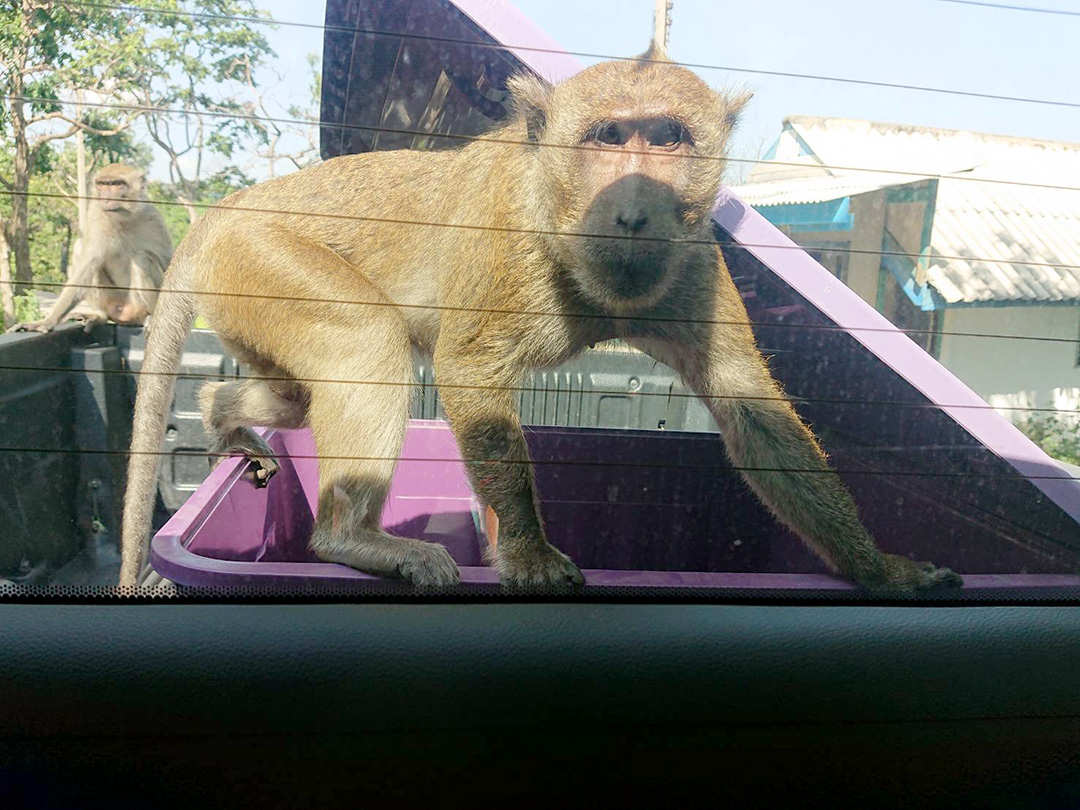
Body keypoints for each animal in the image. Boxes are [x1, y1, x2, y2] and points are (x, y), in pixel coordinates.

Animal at [6, 163, 173, 334]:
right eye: (102, 184)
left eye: (117, 184)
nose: (106, 198)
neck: (123, 220)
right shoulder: (95, 213)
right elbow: (85, 268)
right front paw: (46, 321)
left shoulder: (154, 219)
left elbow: (167, 263)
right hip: (112, 301)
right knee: (82, 250)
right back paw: (100, 316)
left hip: (137, 306)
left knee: (142, 258)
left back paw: (150, 316)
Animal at [118, 46, 963, 593]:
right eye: (608, 139)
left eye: (667, 140)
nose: (634, 205)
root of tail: (225, 209)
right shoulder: (510, 247)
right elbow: (467, 368)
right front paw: (526, 552)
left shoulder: (693, 262)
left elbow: (751, 410)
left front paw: (876, 566)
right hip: (263, 257)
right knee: (367, 344)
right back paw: (349, 539)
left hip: (245, 289)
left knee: (297, 393)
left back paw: (224, 414)